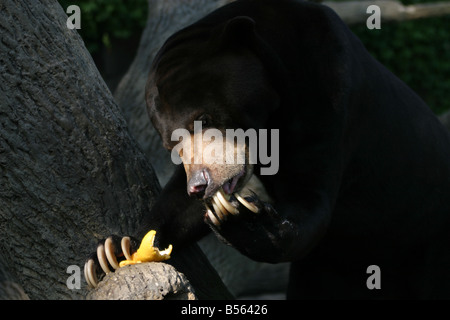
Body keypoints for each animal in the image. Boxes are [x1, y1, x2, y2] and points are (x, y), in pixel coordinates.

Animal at [84, 0, 450, 300]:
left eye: (204, 118)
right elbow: (178, 207)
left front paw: (241, 219)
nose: (200, 184)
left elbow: (310, 197)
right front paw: (113, 252)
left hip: (426, 236)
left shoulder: (328, 104)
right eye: (171, 143)